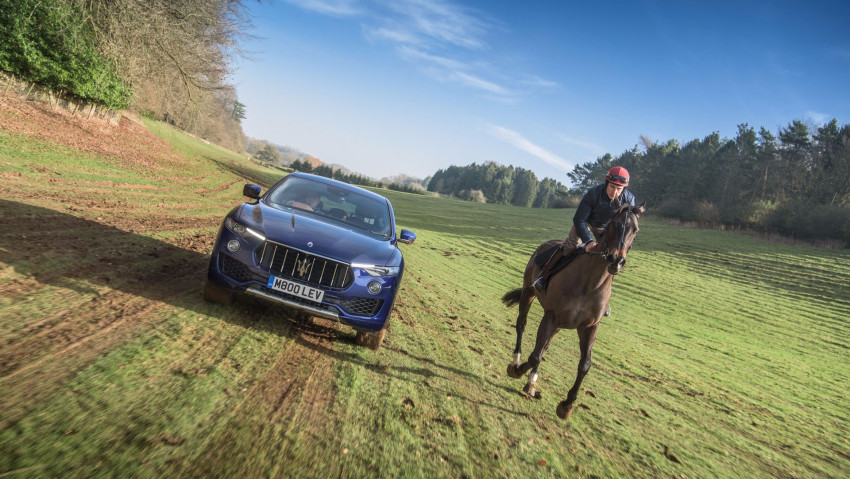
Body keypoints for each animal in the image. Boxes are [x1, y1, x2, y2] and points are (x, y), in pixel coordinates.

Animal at [504, 203, 644, 420]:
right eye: (614, 224)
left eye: (635, 230)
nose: (616, 261)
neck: (591, 283)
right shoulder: (551, 316)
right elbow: (535, 355)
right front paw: (518, 371)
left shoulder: (589, 326)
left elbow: (584, 365)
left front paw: (567, 404)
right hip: (529, 293)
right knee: (522, 325)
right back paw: (516, 361)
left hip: (559, 324)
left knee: (544, 346)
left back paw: (531, 382)